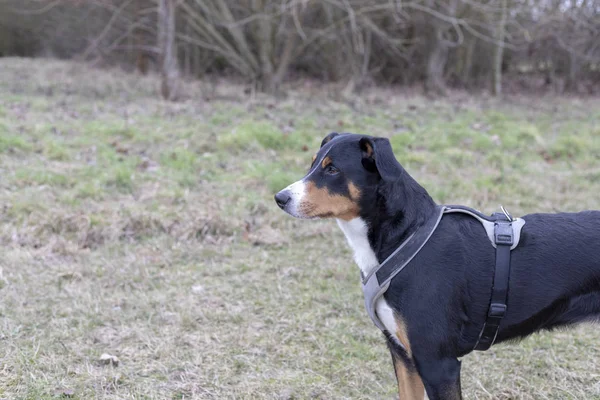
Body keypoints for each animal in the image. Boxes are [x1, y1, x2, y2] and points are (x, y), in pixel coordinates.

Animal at [276, 134, 600, 400]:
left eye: (332, 170)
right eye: (313, 164)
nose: (280, 198)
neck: (406, 237)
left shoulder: (437, 363)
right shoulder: (403, 355)